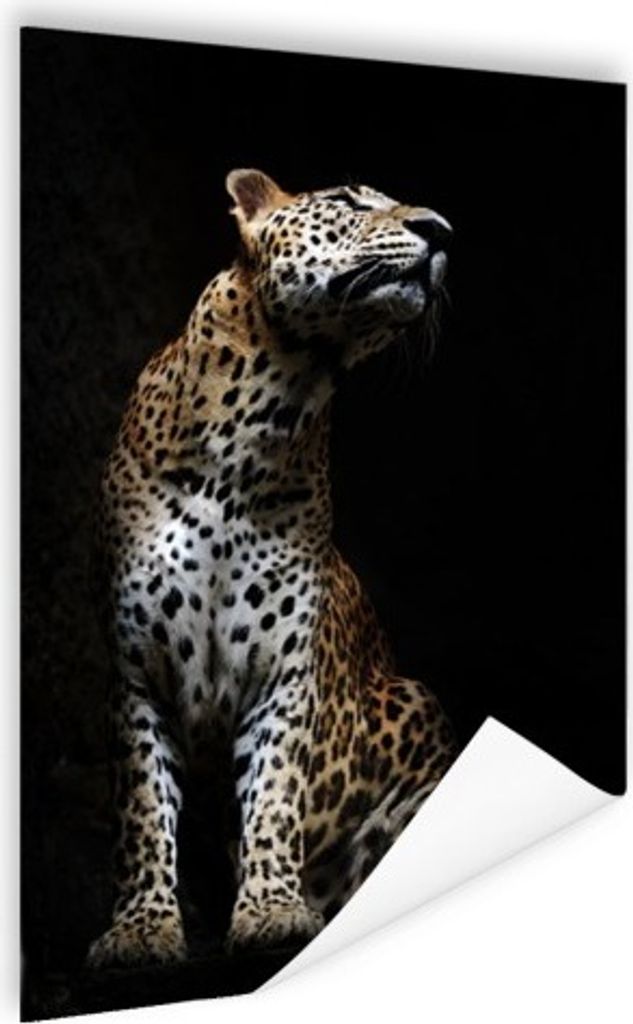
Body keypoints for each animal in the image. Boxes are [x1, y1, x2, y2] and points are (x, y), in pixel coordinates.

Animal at [86, 169, 457, 968]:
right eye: (350, 201)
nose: (442, 231)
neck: (268, 408)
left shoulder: (284, 673)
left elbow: (276, 794)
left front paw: (270, 912)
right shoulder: (136, 673)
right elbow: (142, 810)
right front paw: (142, 929)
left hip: (417, 702)